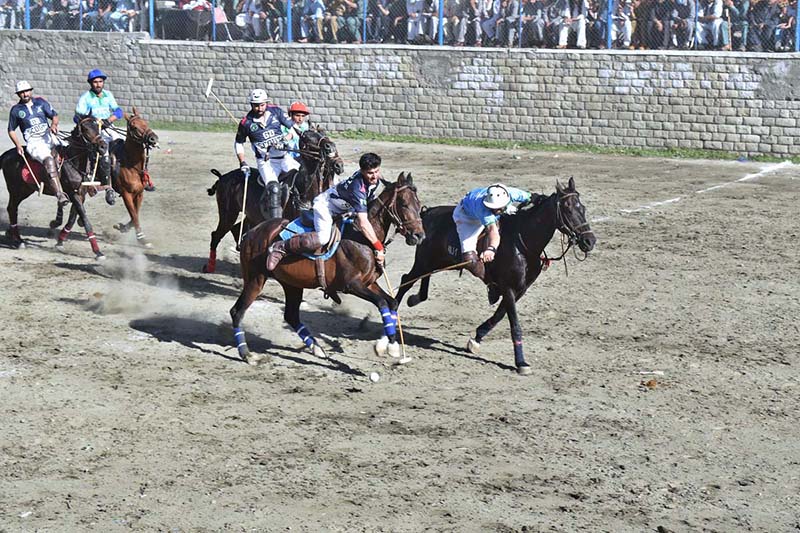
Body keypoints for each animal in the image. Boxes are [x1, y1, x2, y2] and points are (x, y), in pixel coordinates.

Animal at [0, 115, 109, 258]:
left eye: (97, 127)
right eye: (85, 129)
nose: (103, 146)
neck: (74, 161)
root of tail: (6, 154)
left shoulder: (81, 193)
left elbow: (72, 218)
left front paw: (60, 241)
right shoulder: (73, 193)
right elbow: (85, 219)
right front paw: (97, 251)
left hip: (25, 190)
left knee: (13, 208)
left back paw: (13, 235)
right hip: (15, 189)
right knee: (12, 208)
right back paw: (18, 241)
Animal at [49, 108, 159, 249]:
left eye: (145, 122)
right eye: (134, 127)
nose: (153, 138)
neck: (130, 164)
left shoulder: (139, 193)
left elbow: (135, 214)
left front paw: (122, 227)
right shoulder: (126, 194)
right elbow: (134, 215)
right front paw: (142, 239)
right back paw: (58, 221)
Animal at [202, 125, 342, 274]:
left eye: (322, 132)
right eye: (306, 137)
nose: (330, 147)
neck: (303, 191)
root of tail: (222, 177)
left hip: (251, 215)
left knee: (237, 229)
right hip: (228, 213)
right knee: (216, 235)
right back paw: (210, 266)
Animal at [230, 172, 424, 364]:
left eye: (420, 205)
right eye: (404, 204)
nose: (419, 236)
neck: (363, 238)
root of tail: (250, 233)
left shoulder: (369, 283)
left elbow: (392, 302)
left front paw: (387, 345)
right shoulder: (352, 285)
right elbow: (382, 302)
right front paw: (390, 347)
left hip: (292, 284)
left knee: (291, 315)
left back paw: (317, 348)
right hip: (255, 279)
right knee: (237, 311)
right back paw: (247, 354)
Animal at [392, 178, 592, 374]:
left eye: (583, 208)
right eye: (567, 209)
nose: (590, 241)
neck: (523, 242)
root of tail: (426, 213)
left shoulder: (520, 288)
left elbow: (499, 314)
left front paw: (476, 339)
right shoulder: (508, 286)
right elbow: (514, 324)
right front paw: (521, 362)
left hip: (435, 261)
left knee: (422, 280)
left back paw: (414, 299)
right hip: (423, 261)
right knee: (406, 280)